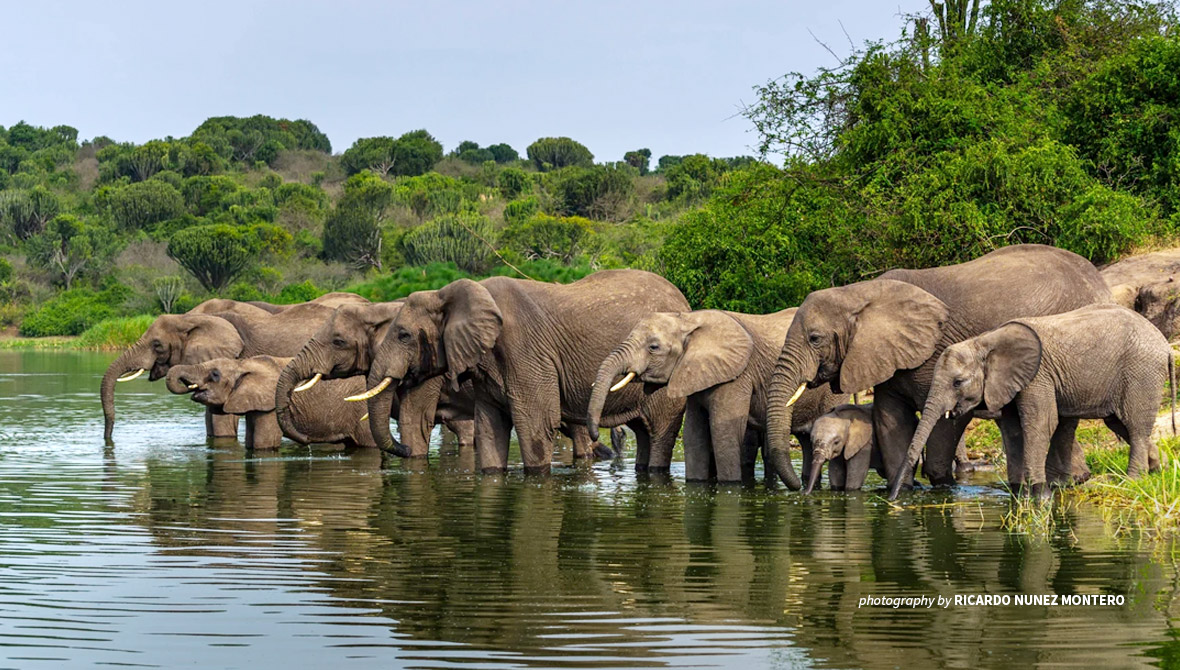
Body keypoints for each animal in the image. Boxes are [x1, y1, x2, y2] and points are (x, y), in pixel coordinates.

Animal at [357, 270, 688, 473]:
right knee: (644, 433)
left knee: (659, 433)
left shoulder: (525, 350)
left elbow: (536, 425)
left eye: (403, 335)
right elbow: (490, 429)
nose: (404, 447)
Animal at [587, 309, 845, 483]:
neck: (688, 320)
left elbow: (724, 434)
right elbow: (694, 435)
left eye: (653, 347)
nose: (595, 435)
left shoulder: (737, 376)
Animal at [763, 244, 1112, 491]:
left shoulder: (936, 352)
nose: (797, 490)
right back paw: (1072, 480)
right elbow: (891, 420)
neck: (859, 292)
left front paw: (940, 485)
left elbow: (946, 417)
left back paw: (1065, 482)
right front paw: (902, 491)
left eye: (815, 338)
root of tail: (1100, 280)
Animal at [891, 304, 1175, 499]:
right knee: (1120, 425)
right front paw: (1019, 493)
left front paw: (1040, 495)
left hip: (1142, 372)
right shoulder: (1009, 383)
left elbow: (1040, 424)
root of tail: (1165, 344)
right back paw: (1160, 469)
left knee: (1135, 427)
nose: (895, 499)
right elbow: (1014, 430)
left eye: (957, 383)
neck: (984, 341)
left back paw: (1133, 481)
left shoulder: (1038, 376)